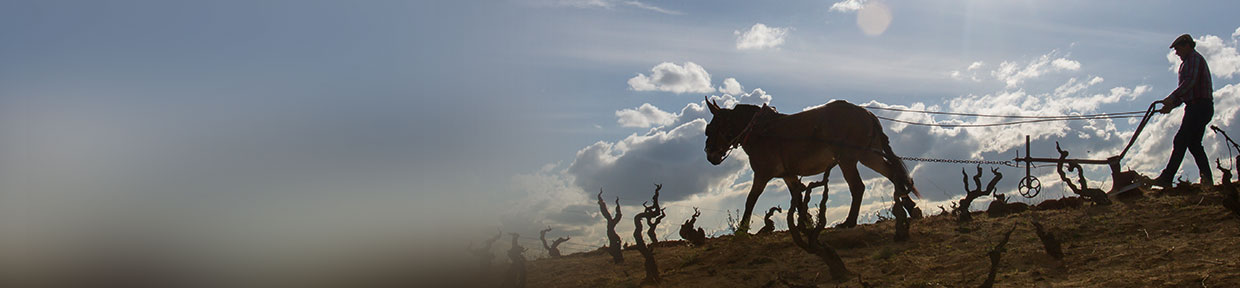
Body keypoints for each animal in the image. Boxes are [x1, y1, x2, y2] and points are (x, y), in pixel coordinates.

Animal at [709, 98, 922, 239]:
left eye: (711, 128)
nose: (710, 156)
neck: (760, 131)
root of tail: (867, 114)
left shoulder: (762, 174)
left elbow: (750, 200)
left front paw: (741, 229)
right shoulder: (788, 175)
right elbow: (797, 197)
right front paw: (805, 223)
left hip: (847, 159)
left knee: (858, 187)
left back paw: (849, 222)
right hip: (868, 155)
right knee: (892, 174)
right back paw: (911, 207)